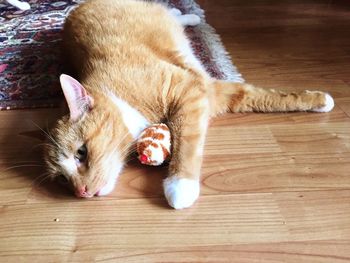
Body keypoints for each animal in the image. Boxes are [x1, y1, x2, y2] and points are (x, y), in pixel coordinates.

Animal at [45, 0, 334, 210]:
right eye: (62, 179)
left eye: (81, 153)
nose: (81, 192)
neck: (120, 92)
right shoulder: (215, 93)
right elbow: (262, 96)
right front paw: (320, 100)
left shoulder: (191, 91)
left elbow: (187, 141)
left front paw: (180, 185)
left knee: (169, 11)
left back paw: (190, 17)